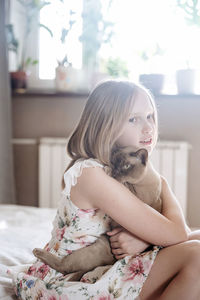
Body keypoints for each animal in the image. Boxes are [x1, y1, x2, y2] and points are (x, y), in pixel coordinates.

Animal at [32, 146, 161, 280]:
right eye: (113, 162)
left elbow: (123, 183)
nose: (114, 171)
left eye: (126, 166)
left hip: (91, 251)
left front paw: (107, 170)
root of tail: (110, 262)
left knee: (64, 267)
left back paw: (36, 251)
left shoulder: (132, 193)